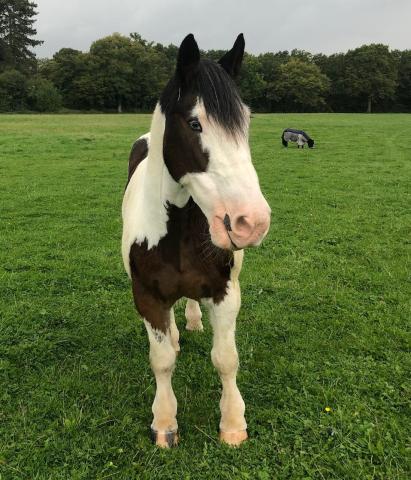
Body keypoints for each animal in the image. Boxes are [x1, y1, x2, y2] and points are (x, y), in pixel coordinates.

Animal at [120, 32, 272, 446]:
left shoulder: (225, 292)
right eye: (194, 123)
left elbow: (226, 359)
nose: (251, 222)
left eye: (246, 121)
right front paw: (164, 423)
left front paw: (233, 424)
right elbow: (161, 361)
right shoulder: (147, 297)